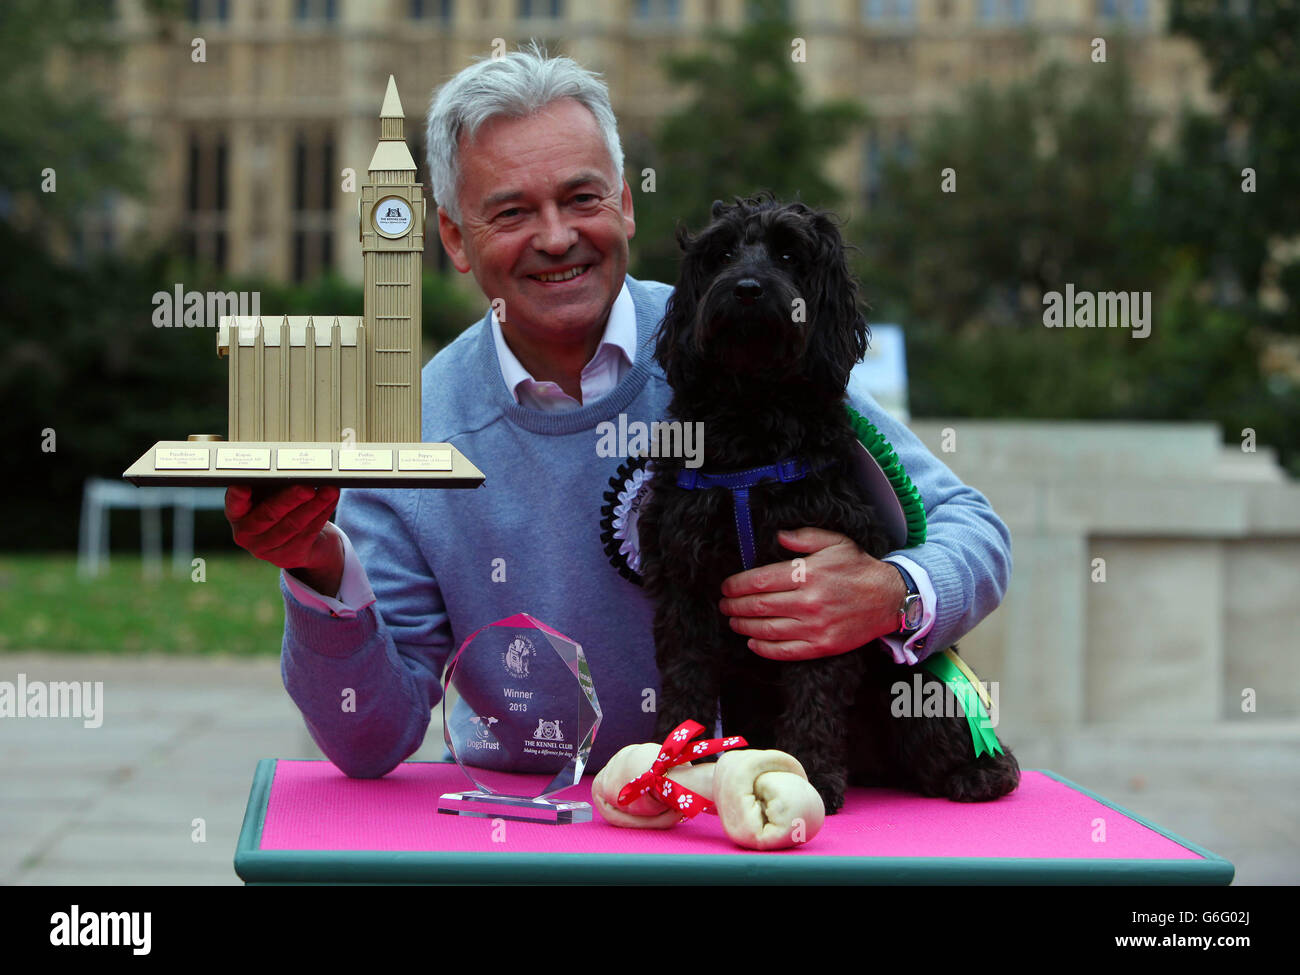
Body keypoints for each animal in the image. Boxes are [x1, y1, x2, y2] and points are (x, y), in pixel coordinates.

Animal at [637, 196, 1013, 816]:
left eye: (790, 254)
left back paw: (977, 772)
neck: (751, 419)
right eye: (721, 253)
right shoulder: (683, 584)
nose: (746, 288)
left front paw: (809, 773)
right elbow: (685, 682)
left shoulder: (818, 599)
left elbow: (813, 691)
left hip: (920, 682)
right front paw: (671, 765)